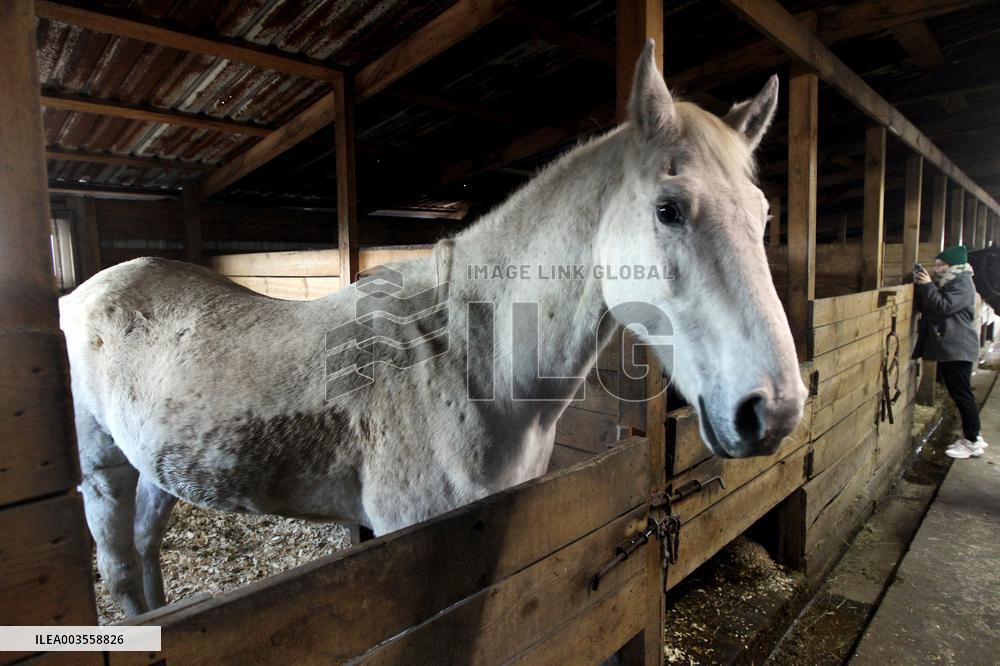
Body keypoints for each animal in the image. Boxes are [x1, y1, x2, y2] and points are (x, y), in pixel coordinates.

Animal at [59, 42, 806, 617]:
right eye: (668, 208)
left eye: (764, 214)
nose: (773, 409)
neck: (475, 369)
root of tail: (85, 292)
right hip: (100, 469)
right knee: (118, 564)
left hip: (157, 465)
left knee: (146, 546)